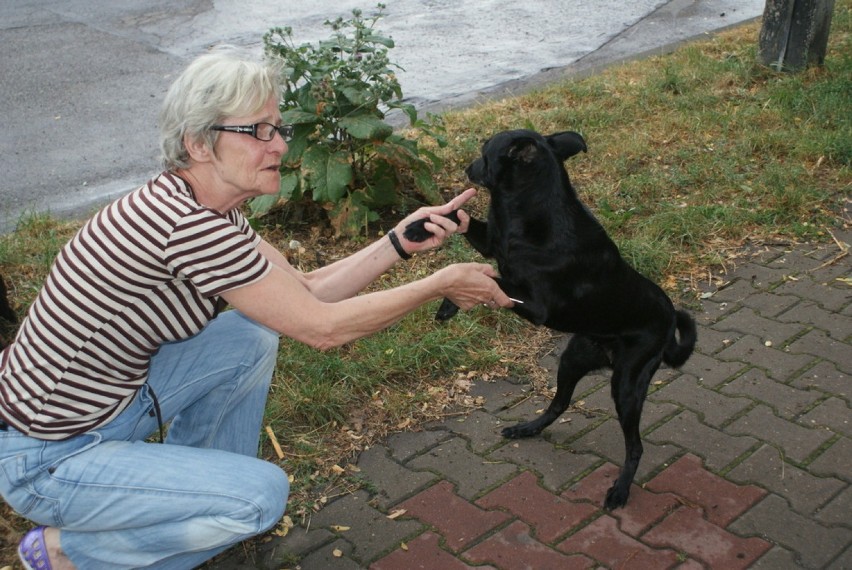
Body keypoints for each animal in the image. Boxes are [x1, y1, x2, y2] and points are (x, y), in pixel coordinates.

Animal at [410, 131, 696, 508]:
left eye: (486, 150)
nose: (467, 169)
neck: (524, 210)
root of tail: (669, 318)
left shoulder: (534, 306)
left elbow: (490, 279)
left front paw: (454, 296)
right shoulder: (490, 244)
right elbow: (458, 215)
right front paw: (419, 229)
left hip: (627, 384)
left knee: (635, 446)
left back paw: (620, 490)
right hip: (573, 359)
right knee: (560, 403)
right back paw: (528, 428)